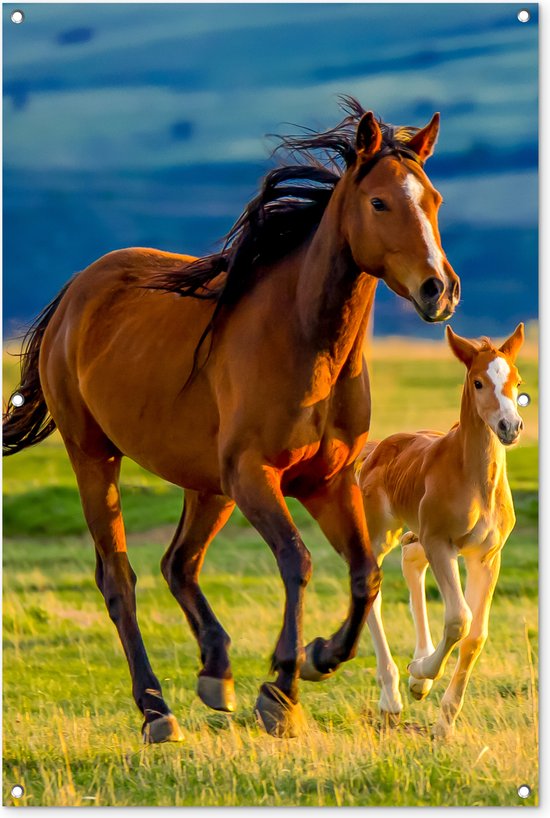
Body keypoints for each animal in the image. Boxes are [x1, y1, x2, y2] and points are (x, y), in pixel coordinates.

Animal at [4, 97, 462, 740]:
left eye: (435, 200)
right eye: (379, 202)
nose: (439, 290)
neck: (306, 344)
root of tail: (76, 291)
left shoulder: (327, 482)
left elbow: (365, 574)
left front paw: (320, 658)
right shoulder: (255, 476)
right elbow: (297, 563)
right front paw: (281, 690)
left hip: (207, 485)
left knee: (179, 564)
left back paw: (215, 671)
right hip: (95, 457)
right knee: (119, 579)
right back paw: (156, 710)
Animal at [358, 326, 528, 740]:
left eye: (518, 382)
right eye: (479, 382)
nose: (510, 428)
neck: (475, 480)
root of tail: (377, 449)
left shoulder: (486, 556)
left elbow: (476, 634)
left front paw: (443, 721)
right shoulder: (442, 544)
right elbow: (458, 619)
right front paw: (420, 673)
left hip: (417, 535)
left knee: (410, 560)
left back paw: (416, 677)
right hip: (383, 534)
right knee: (372, 587)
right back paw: (393, 696)